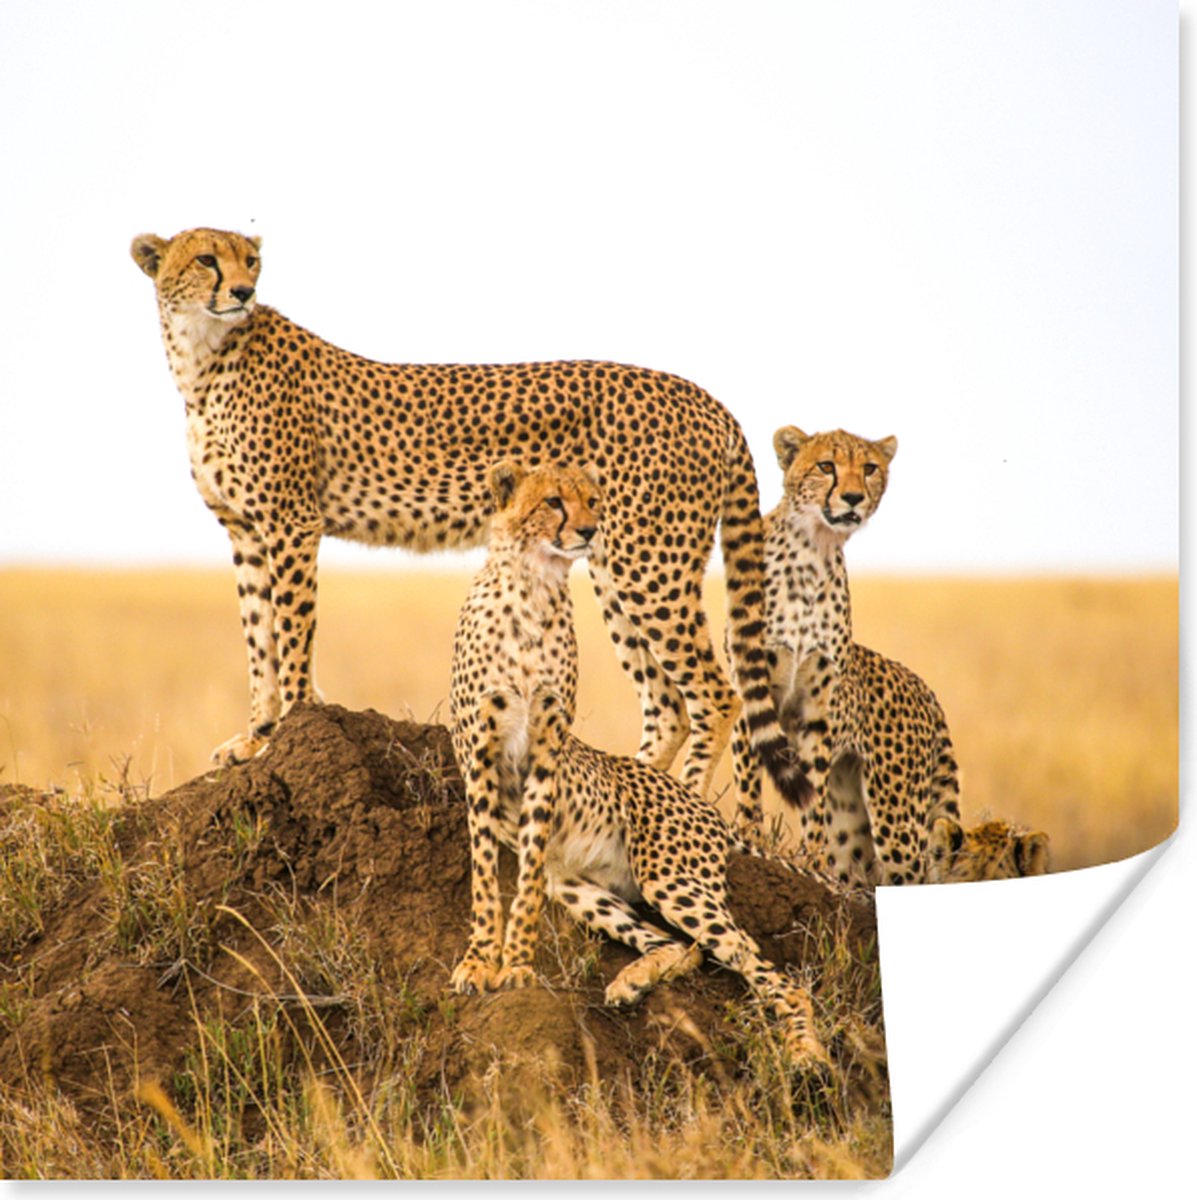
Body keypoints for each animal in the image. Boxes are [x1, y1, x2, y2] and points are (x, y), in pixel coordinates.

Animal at [130, 227, 806, 805]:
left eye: (251, 260)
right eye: (206, 259)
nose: (243, 292)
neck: (202, 357)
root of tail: (705, 397)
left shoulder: (290, 522)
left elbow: (291, 634)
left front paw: (288, 728)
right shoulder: (245, 530)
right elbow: (258, 639)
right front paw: (255, 736)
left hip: (649, 564)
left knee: (716, 694)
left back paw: (683, 802)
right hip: (612, 562)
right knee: (668, 704)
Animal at [448, 460, 828, 1067]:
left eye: (593, 500)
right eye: (553, 501)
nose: (588, 531)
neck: (533, 587)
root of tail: (701, 805)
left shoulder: (546, 755)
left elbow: (523, 883)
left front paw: (518, 967)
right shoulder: (480, 758)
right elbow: (487, 874)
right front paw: (480, 962)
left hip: (671, 879)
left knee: (766, 969)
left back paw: (806, 1053)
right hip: (580, 887)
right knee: (685, 947)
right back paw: (632, 982)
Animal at [730, 426, 961, 886]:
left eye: (869, 468)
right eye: (826, 466)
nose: (853, 497)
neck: (812, 551)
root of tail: (925, 688)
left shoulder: (818, 709)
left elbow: (811, 792)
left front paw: (811, 860)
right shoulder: (751, 689)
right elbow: (749, 780)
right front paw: (748, 837)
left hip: (895, 813)